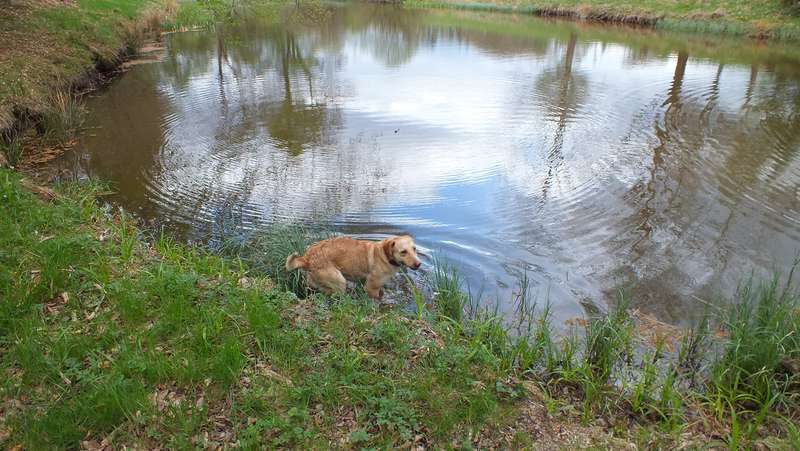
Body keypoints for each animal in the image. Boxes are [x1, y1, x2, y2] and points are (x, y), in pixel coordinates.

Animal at [288, 237, 424, 300]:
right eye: (403, 252)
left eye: (414, 249)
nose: (418, 264)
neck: (384, 255)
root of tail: (307, 258)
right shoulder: (371, 288)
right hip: (339, 282)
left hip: (313, 280)